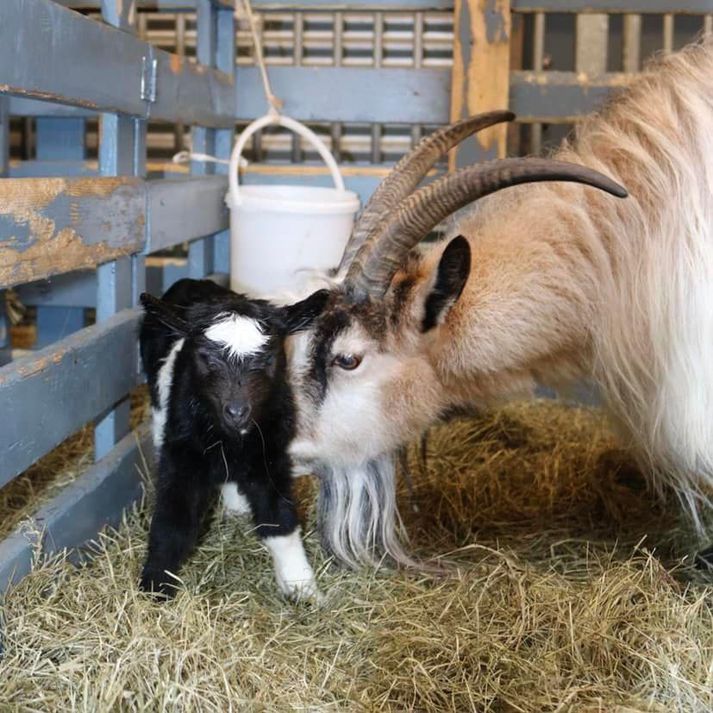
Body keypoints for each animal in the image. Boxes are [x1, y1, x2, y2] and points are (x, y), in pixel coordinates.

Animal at [140, 278, 328, 596]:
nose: (237, 411)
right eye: (204, 358)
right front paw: (154, 587)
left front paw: (302, 588)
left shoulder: (272, 453)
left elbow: (280, 521)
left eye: (268, 358)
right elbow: (173, 520)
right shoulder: (181, 451)